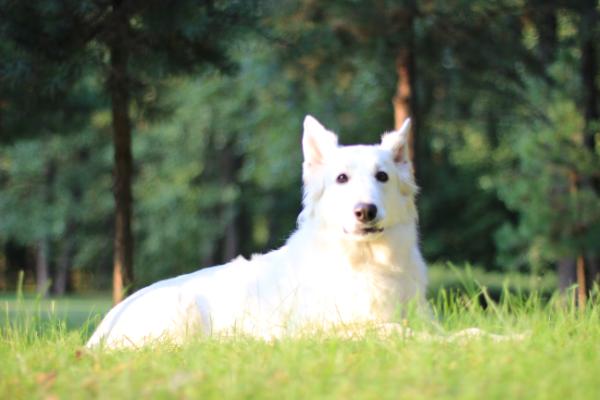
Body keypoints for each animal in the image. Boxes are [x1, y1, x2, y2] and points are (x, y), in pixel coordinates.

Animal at [86, 114, 428, 348]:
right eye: (342, 178)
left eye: (382, 176)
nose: (365, 211)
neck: (368, 261)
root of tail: (98, 336)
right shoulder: (319, 331)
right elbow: (392, 330)